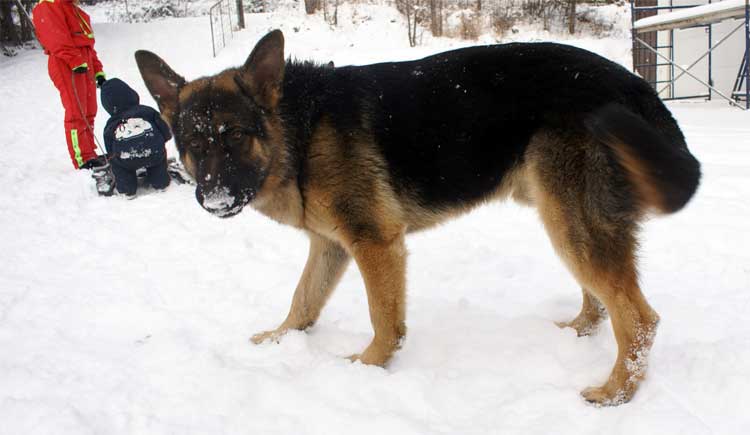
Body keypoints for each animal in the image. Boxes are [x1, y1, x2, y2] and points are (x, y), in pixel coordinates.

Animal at [134, 29, 700, 406]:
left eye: (233, 136)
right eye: (192, 144)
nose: (214, 199)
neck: (300, 131)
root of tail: (637, 87)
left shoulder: (374, 242)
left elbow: (383, 319)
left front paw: (367, 367)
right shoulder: (330, 245)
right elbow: (302, 299)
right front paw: (279, 339)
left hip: (570, 221)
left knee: (639, 319)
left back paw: (617, 392)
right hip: (561, 214)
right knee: (604, 302)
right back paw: (578, 330)